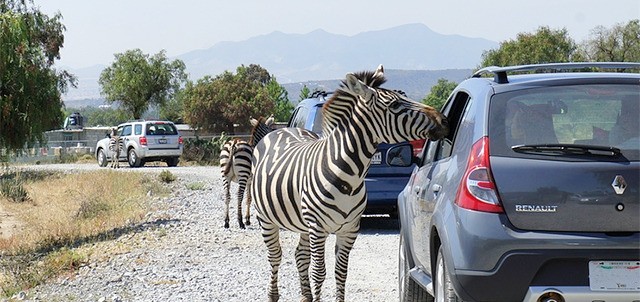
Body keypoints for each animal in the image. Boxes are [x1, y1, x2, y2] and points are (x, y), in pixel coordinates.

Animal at [250, 66, 450, 302]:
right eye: (395, 105)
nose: (445, 120)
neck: (349, 177)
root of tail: (283, 130)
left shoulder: (350, 228)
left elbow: (341, 272)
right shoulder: (318, 228)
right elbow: (319, 272)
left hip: (302, 223)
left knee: (300, 256)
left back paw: (305, 296)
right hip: (267, 218)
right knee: (275, 256)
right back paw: (273, 294)